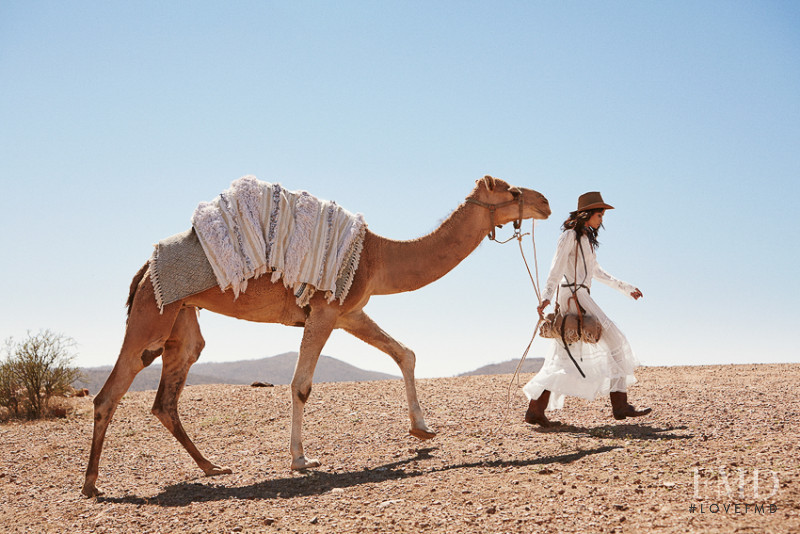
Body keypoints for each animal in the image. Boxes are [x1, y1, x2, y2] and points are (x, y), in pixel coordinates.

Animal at [79, 176, 552, 498]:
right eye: (512, 192)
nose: (545, 201)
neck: (378, 255)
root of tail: (146, 267)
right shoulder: (324, 311)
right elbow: (302, 385)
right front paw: (301, 458)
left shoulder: (350, 311)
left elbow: (405, 353)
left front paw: (423, 430)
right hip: (152, 314)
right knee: (111, 391)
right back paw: (91, 486)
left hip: (181, 318)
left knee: (167, 395)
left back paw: (213, 468)